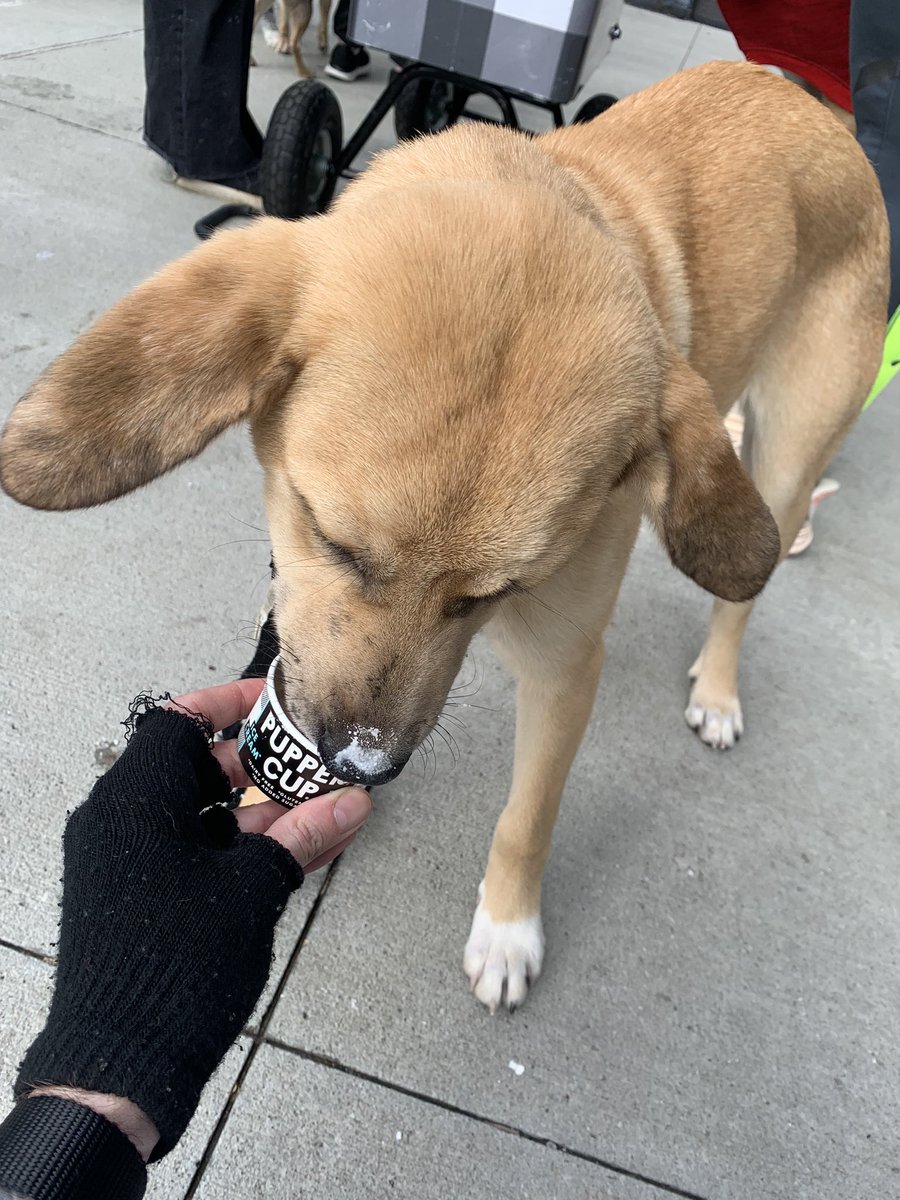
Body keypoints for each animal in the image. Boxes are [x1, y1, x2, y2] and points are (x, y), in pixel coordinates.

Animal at [0, 60, 888, 1008]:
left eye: (499, 591)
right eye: (332, 538)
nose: (360, 767)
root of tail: (801, 97)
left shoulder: (565, 666)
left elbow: (527, 818)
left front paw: (508, 929)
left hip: (788, 459)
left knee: (745, 592)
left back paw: (719, 689)